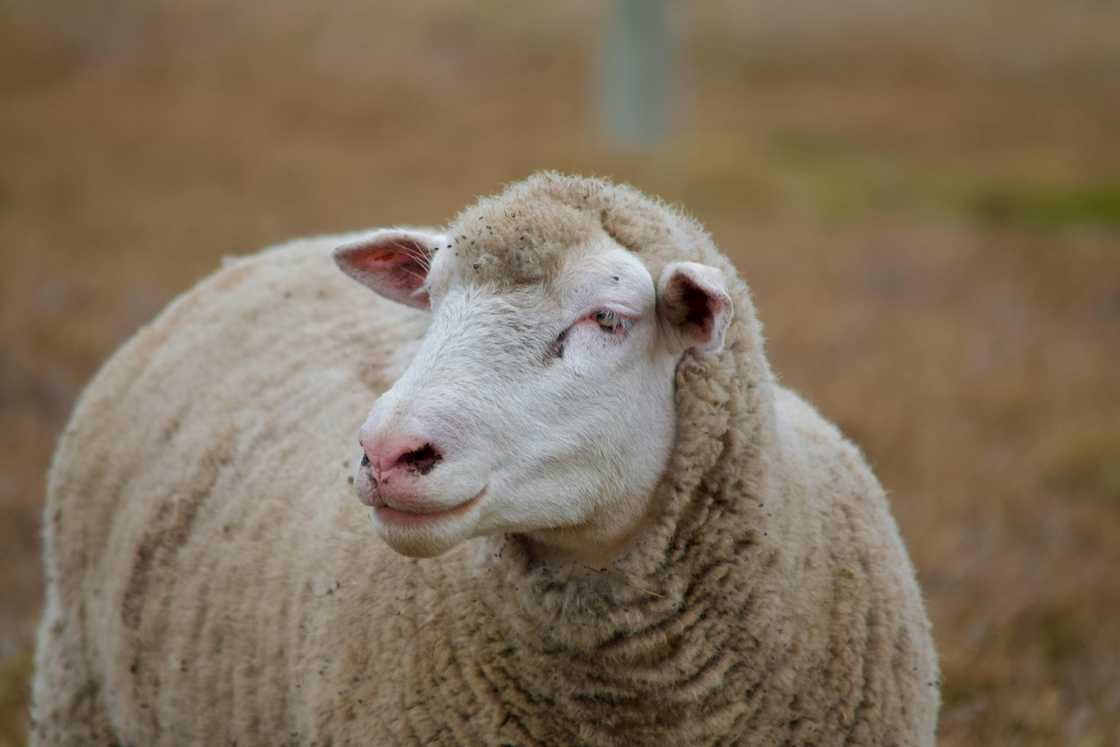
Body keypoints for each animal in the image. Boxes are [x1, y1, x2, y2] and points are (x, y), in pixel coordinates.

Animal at [31, 172, 939, 745]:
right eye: (430, 299)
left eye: (609, 319)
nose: (388, 451)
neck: (646, 701)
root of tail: (267, 253)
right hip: (75, 694)